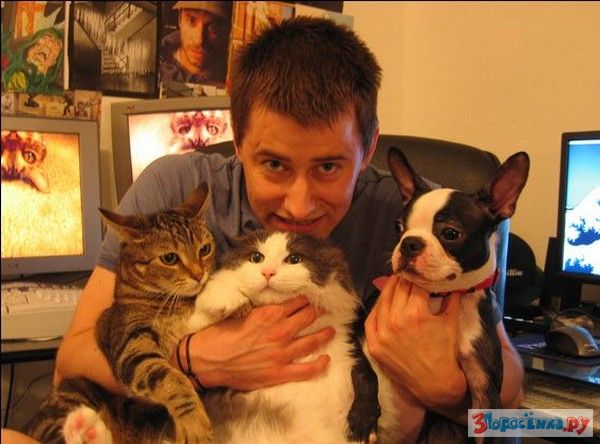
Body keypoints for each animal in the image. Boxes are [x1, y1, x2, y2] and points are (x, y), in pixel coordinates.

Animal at [27, 183, 217, 444]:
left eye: (205, 249)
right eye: (170, 258)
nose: (199, 275)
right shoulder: (131, 347)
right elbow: (173, 379)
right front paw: (195, 423)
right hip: (73, 391)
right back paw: (83, 428)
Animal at [186, 230, 375, 444]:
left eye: (294, 259)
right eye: (256, 258)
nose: (268, 272)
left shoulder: (349, 346)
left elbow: (365, 377)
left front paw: (363, 422)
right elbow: (210, 296)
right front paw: (229, 301)